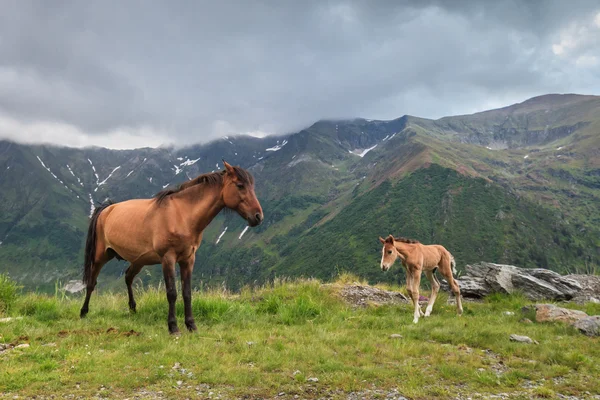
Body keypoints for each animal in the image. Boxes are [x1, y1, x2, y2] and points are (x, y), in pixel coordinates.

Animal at [80, 161, 262, 332]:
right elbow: (172, 293)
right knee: (91, 283)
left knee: (128, 277)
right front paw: (173, 327)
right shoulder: (168, 258)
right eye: (240, 185)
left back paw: (133, 308)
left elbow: (187, 293)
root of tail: (107, 209)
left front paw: (191, 325)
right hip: (101, 256)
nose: (258, 216)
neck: (182, 215)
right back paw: (83, 312)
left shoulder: (188, 259)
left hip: (138, 260)